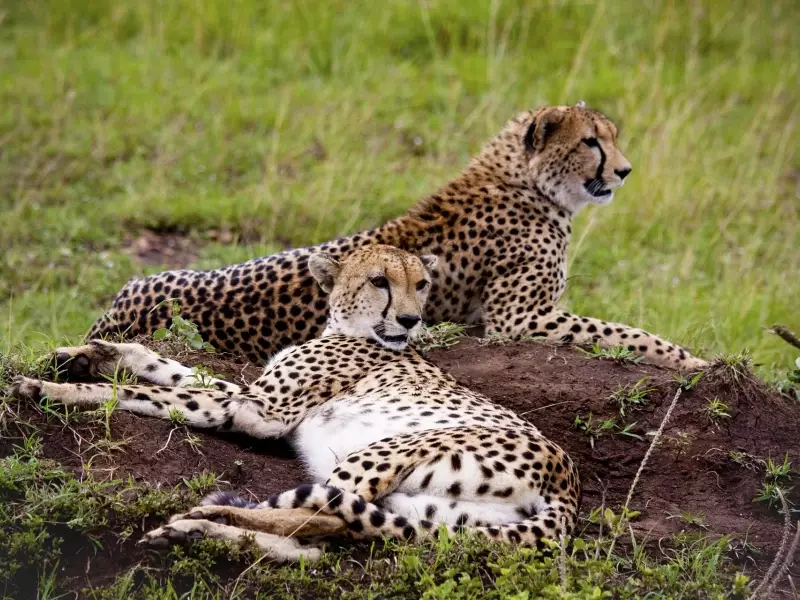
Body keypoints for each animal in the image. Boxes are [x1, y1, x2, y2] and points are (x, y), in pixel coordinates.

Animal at [12, 244, 580, 564]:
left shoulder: (257, 412)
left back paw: (206, 517)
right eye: (381, 281)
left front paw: (54, 390)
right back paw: (201, 533)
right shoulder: (252, 397)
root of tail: (567, 479)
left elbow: (151, 393)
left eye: (421, 284)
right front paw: (91, 354)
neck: (348, 328)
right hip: (429, 509)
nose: (412, 319)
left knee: (322, 517)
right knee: (325, 542)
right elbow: (177, 371)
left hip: (383, 453)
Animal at [87, 105, 708, 372]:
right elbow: (624, 331)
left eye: (611, 138)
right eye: (591, 143)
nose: (625, 171)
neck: (527, 182)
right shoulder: (517, 321)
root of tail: (115, 310)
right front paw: (692, 360)